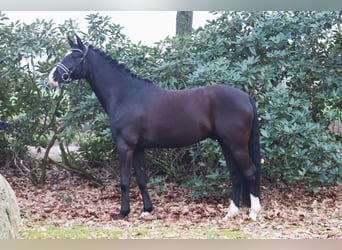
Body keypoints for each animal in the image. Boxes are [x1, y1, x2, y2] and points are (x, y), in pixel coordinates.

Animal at [48, 35, 262, 221]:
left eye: (75, 56)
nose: (53, 76)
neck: (126, 95)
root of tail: (246, 96)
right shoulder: (138, 148)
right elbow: (142, 179)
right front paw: (147, 210)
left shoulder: (125, 146)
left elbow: (124, 180)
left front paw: (123, 212)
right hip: (225, 144)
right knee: (236, 174)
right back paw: (231, 213)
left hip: (236, 144)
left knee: (250, 172)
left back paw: (253, 213)